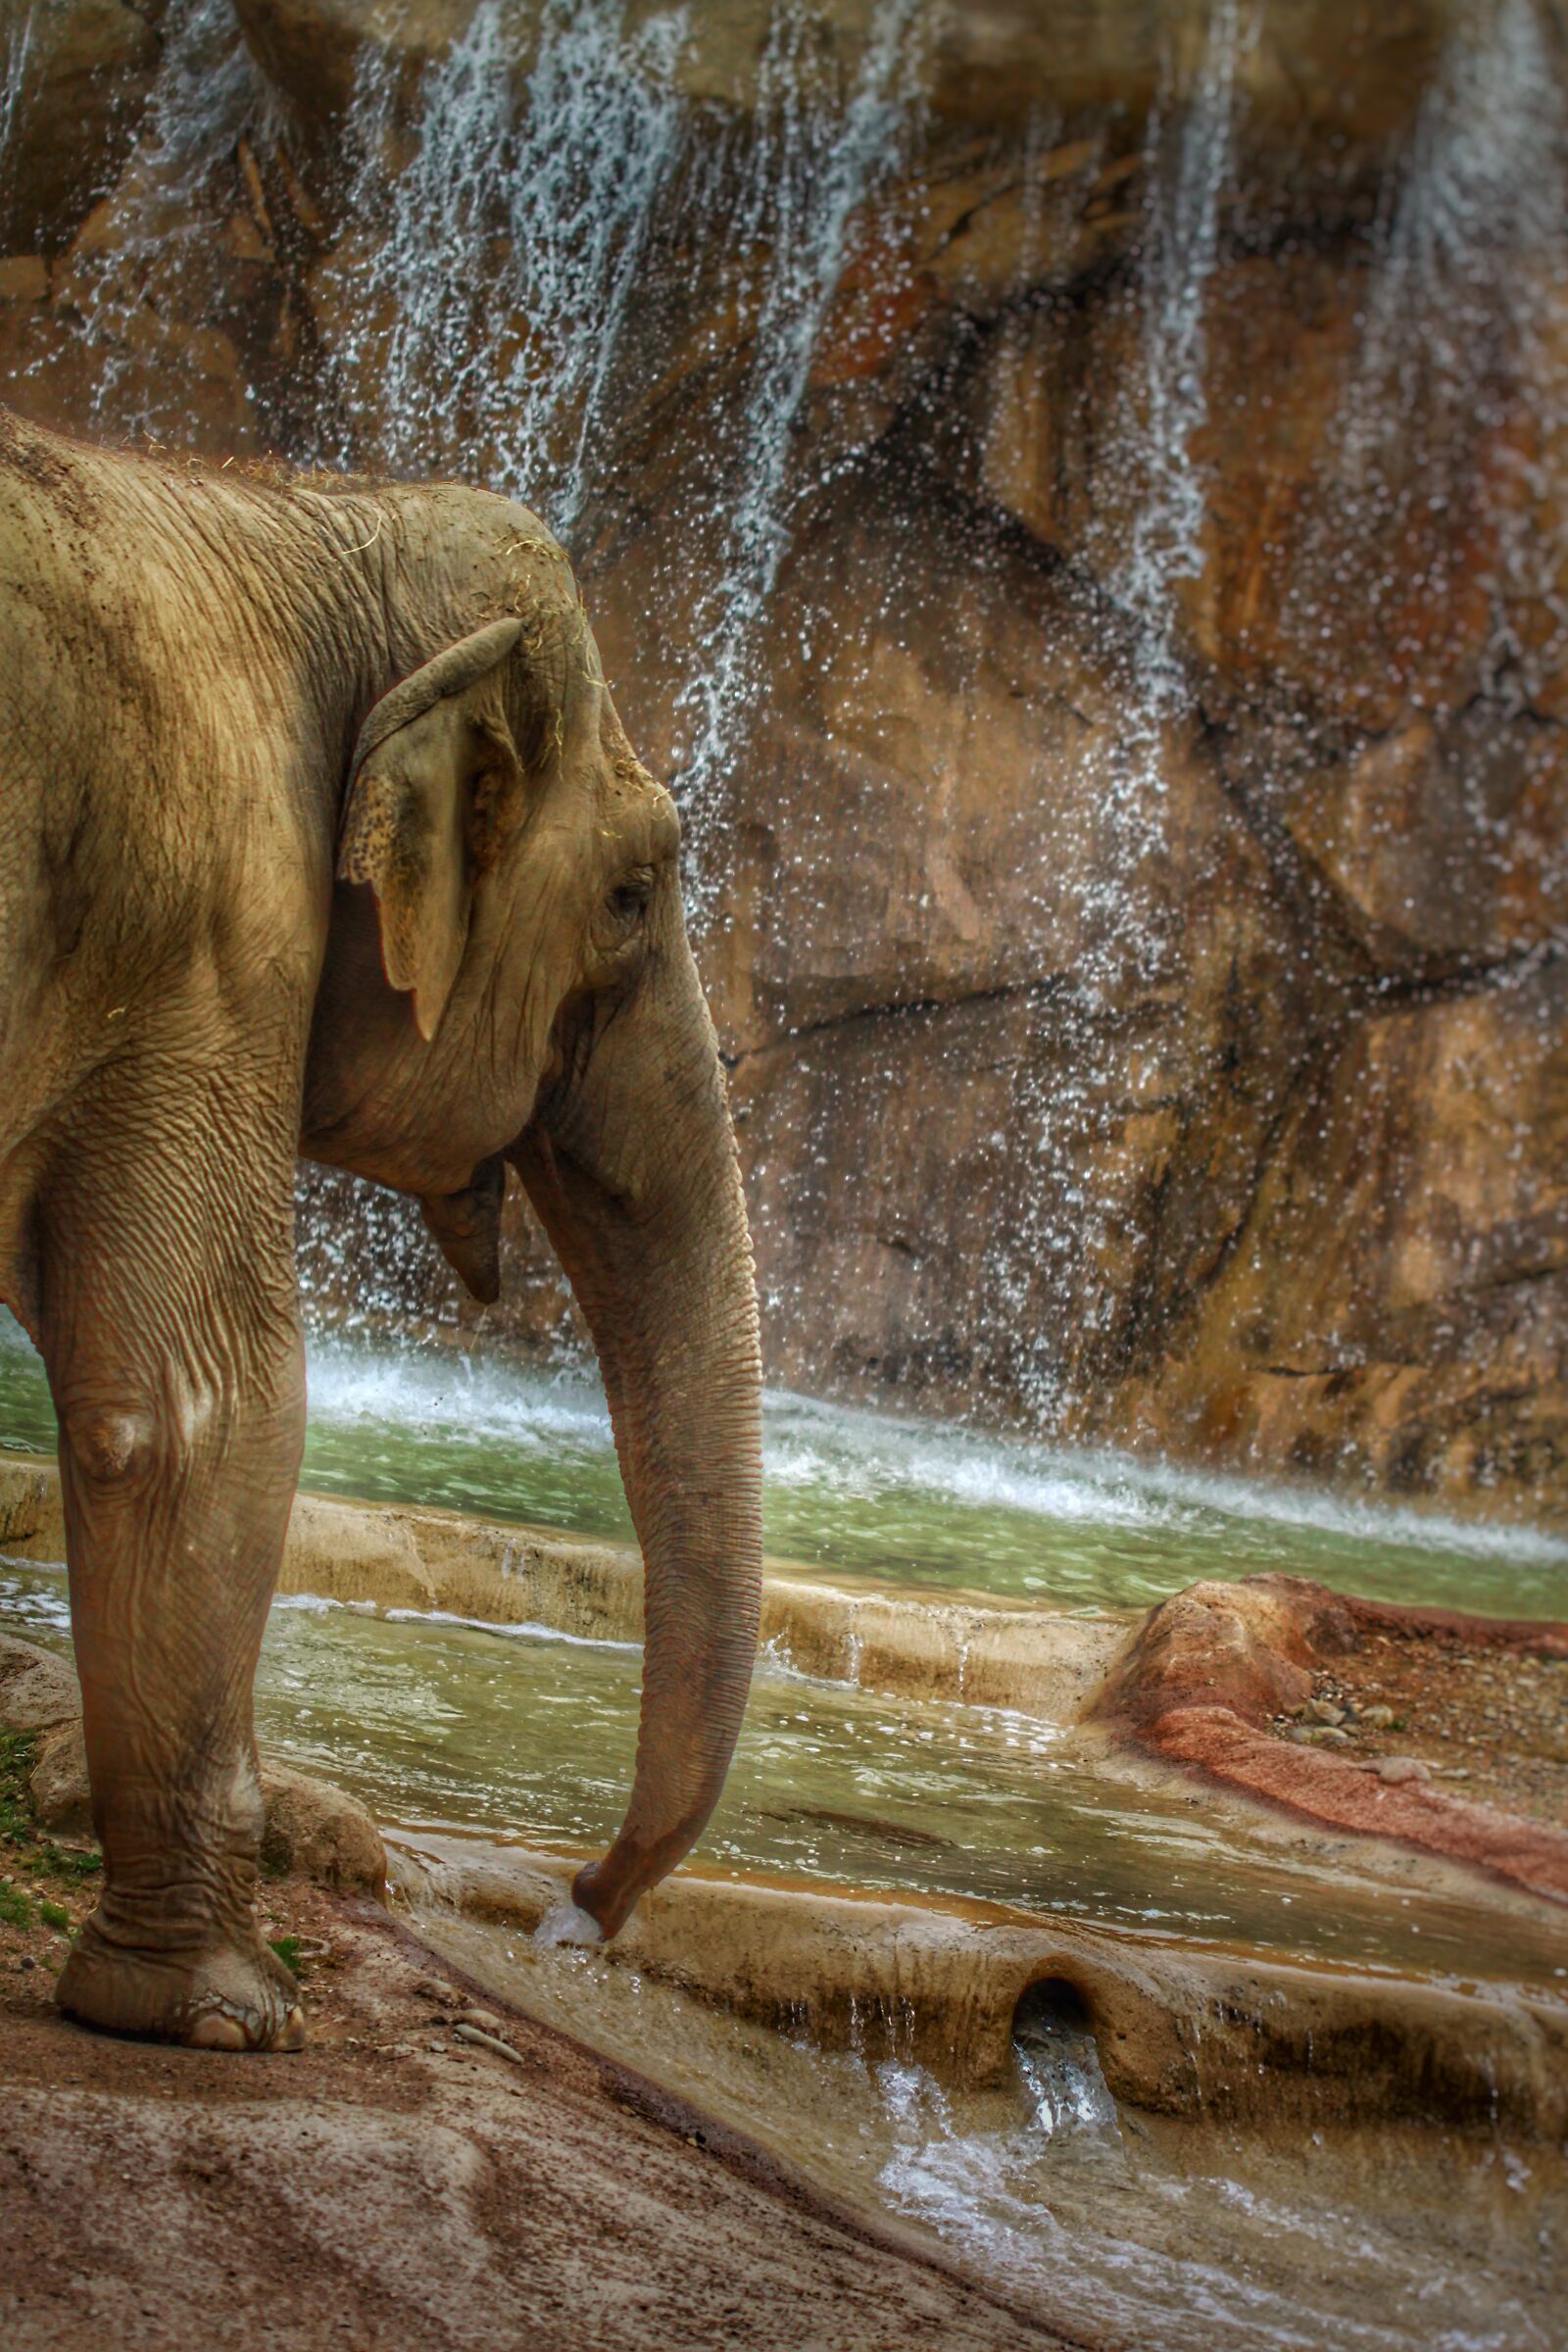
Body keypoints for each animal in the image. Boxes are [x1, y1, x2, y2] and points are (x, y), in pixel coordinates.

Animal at [0, 406, 763, 2049]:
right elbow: (197, 1407)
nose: (573, 1912)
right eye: (632, 892)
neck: (305, 513)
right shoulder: (212, 930)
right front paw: (223, 2017)